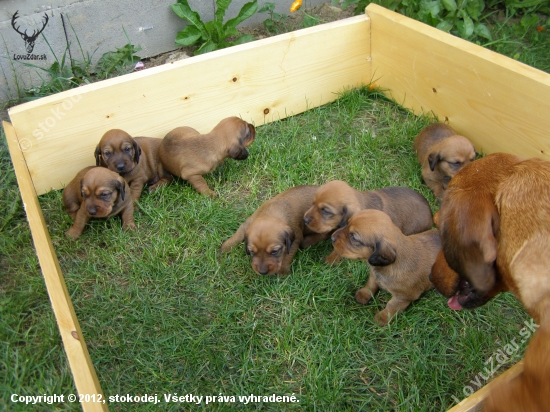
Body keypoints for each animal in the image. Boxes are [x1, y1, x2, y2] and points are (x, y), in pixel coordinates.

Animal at [302, 180, 436, 264]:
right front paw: (308, 240)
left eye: (325, 211)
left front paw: (331, 259)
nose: (305, 220)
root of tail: (430, 212)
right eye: (313, 203)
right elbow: (323, 233)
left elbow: (339, 247)